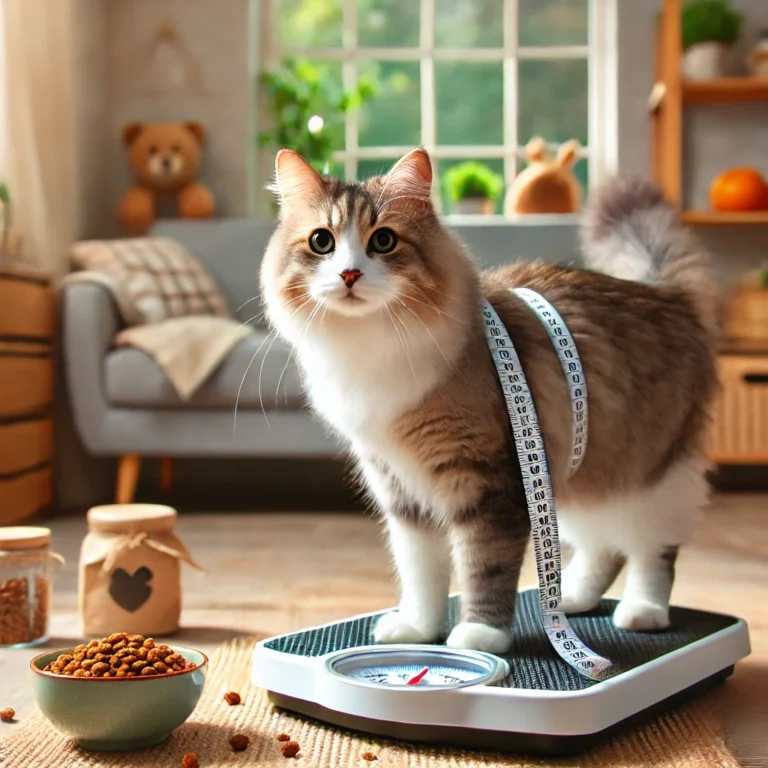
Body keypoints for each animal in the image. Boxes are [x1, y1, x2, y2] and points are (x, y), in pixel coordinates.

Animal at [262, 150, 720, 656]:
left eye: (382, 240)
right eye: (321, 242)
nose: (349, 274)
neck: (369, 347)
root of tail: (668, 296)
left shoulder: (489, 482)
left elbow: (485, 565)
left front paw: (480, 636)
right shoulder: (400, 489)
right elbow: (420, 572)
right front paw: (418, 628)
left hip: (649, 478)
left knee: (653, 550)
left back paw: (642, 611)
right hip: (582, 475)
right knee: (603, 547)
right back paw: (570, 597)